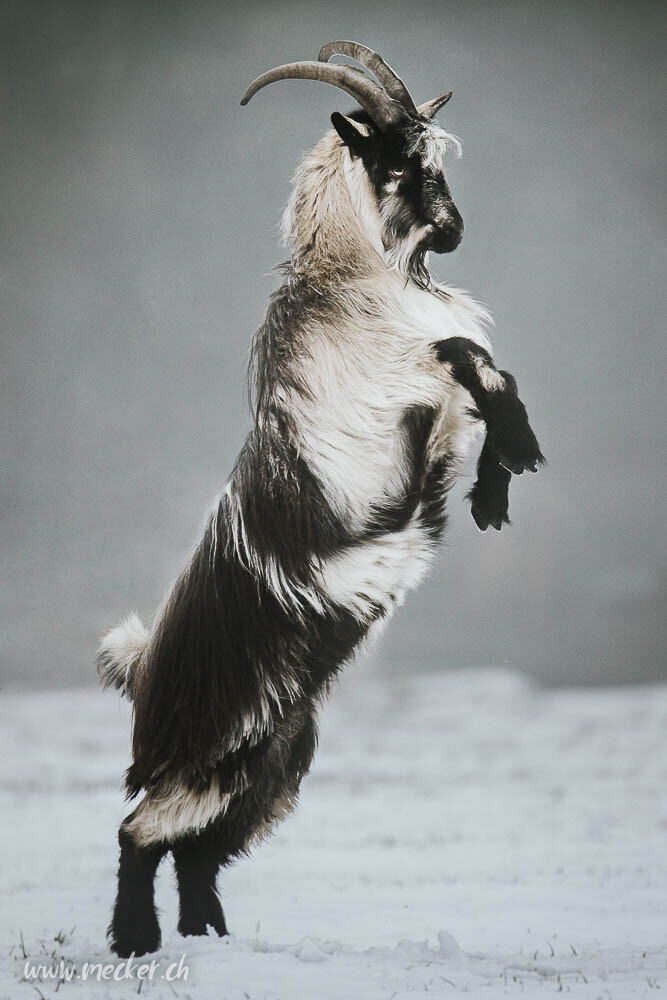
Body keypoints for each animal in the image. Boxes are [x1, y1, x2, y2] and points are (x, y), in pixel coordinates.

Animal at [100, 41, 548, 960]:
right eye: (401, 162)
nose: (456, 231)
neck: (351, 287)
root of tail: (144, 673)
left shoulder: (429, 416)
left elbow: (482, 369)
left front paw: (493, 492)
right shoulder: (392, 406)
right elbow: (470, 357)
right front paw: (517, 453)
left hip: (275, 757)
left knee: (194, 848)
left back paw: (207, 936)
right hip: (214, 754)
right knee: (139, 833)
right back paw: (135, 944)